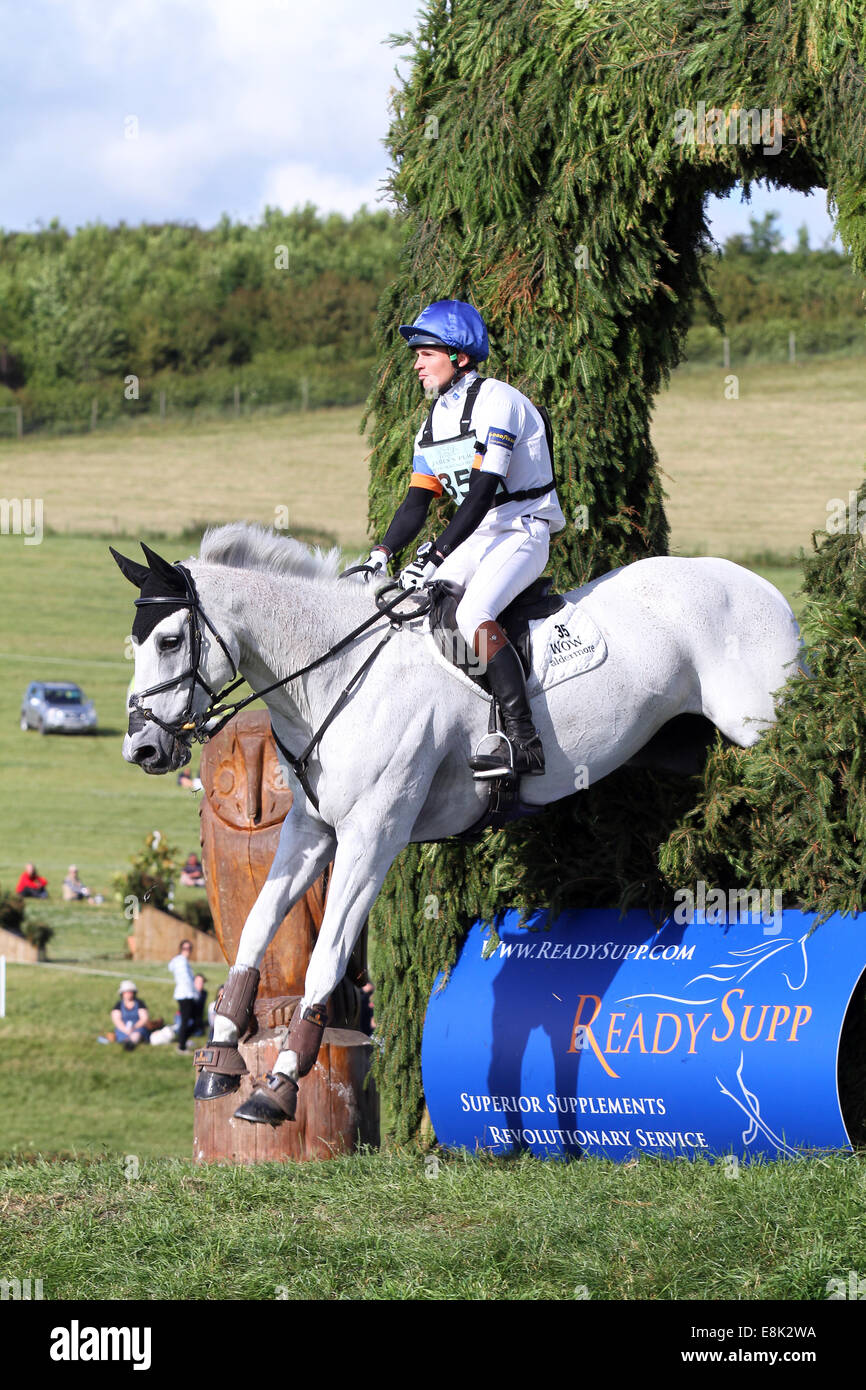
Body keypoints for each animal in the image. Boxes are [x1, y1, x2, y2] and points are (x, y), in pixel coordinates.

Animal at [111, 525, 800, 1123]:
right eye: (136, 643)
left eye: (168, 641)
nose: (142, 750)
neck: (331, 675)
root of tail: (759, 585)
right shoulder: (311, 832)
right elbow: (256, 930)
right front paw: (222, 1054)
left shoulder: (373, 838)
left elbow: (326, 957)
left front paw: (279, 1084)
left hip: (761, 729)